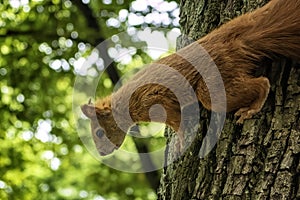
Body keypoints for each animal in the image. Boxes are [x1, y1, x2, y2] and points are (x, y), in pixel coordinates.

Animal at [81, 0, 300, 156]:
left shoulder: (156, 99)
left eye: (99, 132)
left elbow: (178, 122)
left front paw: (179, 143)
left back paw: (251, 108)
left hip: (215, 81)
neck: (127, 103)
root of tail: (231, 40)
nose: (102, 153)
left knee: (262, 83)